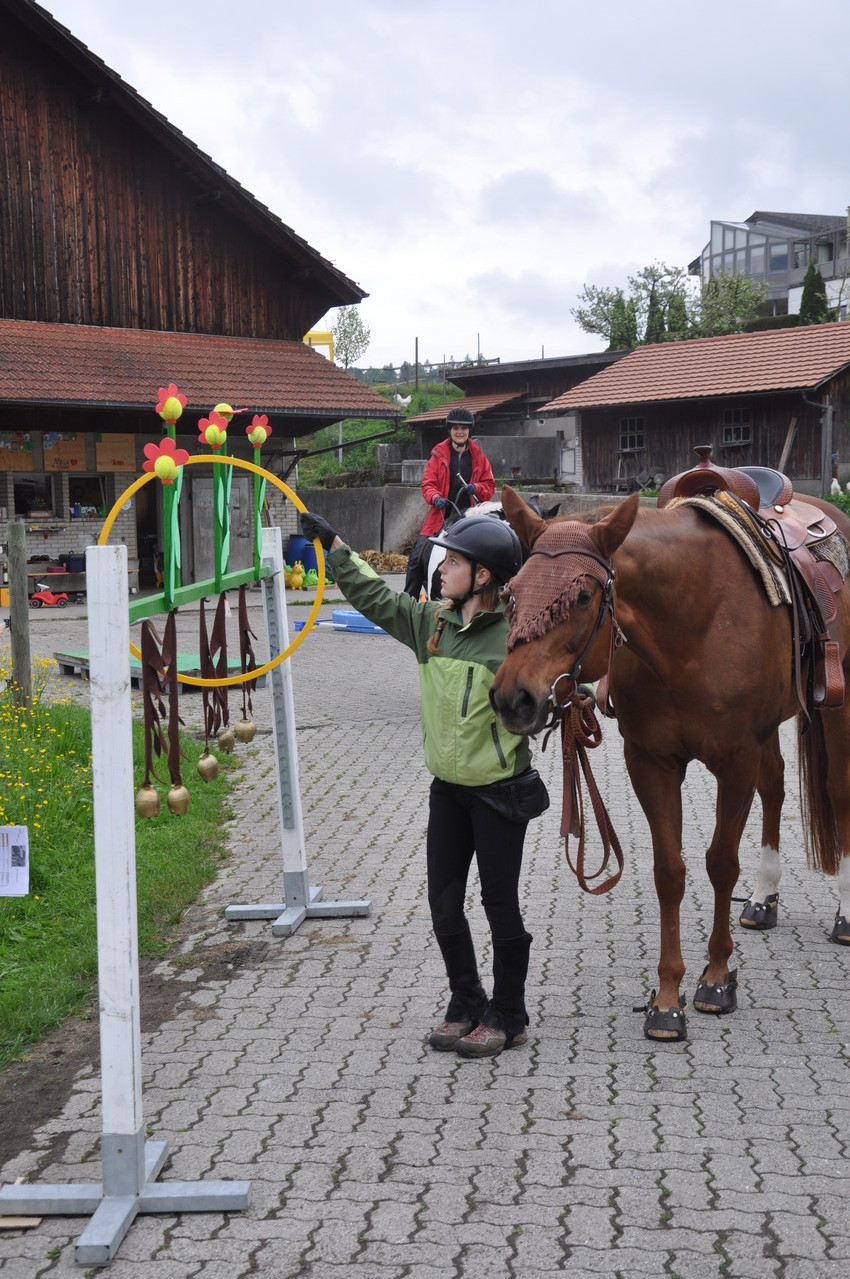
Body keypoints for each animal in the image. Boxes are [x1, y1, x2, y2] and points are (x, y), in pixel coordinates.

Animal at [488, 486, 848, 1038]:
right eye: (510, 594)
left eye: (582, 597)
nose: (514, 698)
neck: (692, 626)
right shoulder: (651, 763)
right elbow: (669, 873)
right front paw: (666, 997)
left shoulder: (735, 762)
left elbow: (720, 864)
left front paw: (717, 979)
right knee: (776, 788)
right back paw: (763, 897)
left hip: (836, 710)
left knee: (837, 792)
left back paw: (845, 915)